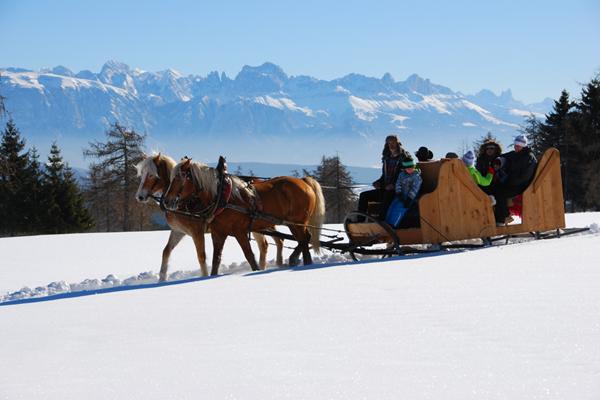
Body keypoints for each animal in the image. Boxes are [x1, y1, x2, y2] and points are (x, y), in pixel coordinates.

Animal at [134, 153, 284, 282]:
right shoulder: (178, 231)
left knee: (273, 241)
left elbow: (201, 255)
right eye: (142, 174)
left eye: (152, 175)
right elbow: (166, 251)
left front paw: (204, 276)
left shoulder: (197, 231)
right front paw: (162, 279)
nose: (139, 196)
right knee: (267, 244)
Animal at [162, 158, 326, 276]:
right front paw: (212, 276)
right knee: (303, 239)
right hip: (292, 223)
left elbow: (249, 255)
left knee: (303, 239)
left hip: (297, 222)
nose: (166, 201)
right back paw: (300, 260)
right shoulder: (218, 233)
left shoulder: (239, 231)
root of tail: (303, 181)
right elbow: (216, 259)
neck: (221, 197)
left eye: (179, 178)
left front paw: (256, 269)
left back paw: (301, 261)